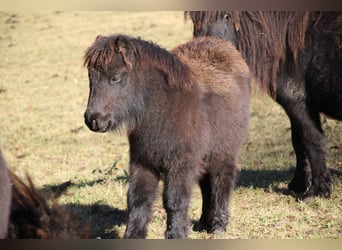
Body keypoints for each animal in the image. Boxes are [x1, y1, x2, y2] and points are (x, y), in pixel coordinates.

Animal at [83, 33, 248, 238]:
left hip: (224, 152)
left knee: (221, 182)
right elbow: (137, 199)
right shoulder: (143, 161)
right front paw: (133, 235)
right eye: (91, 77)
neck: (166, 108)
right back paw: (203, 223)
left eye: (115, 78)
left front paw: (176, 234)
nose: (93, 120)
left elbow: (175, 200)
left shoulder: (181, 164)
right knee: (206, 185)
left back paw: (218, 226)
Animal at [187, 11, 342, 199]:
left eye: (226, 16)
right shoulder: (296, 107)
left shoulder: (298, 103)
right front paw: (298, 184)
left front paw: (317, 191)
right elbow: (298, 142)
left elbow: (312, 141)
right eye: (195, 20)